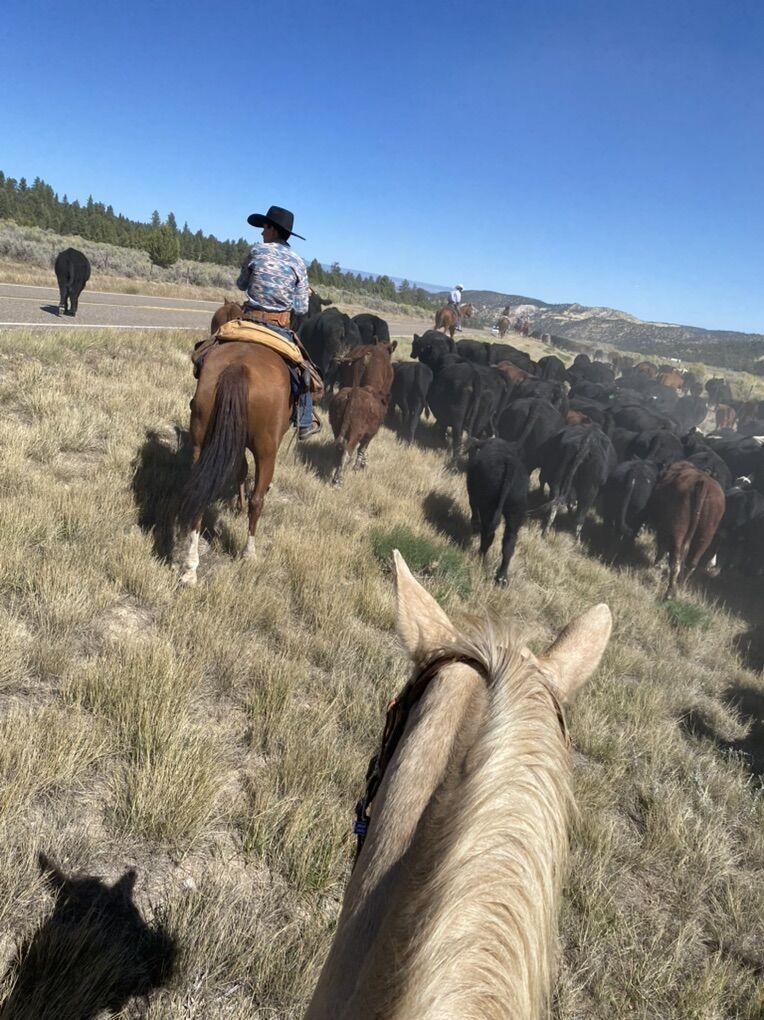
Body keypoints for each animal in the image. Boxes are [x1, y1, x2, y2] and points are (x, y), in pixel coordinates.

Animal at [178, 342, 293, 585]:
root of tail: (238, 366)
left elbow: (240, 469)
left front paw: (238, 506)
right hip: (266, 450)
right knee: (257, 501)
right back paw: (249, 554)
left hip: (201, 441)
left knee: (199, 493)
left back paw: (191, 568)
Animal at [466, 438, 529, 586]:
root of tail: (510, 464)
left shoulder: (473, 493)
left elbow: (473, 505)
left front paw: (474, 526)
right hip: (515, 512)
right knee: (509, 542)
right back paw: (501, 577)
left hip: (489, 506)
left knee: (488, 535)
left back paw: (480, 557)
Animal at [648, 461, 726, 598]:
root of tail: (703, 483)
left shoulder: (663, 528)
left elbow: (661, 547)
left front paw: (656, 565)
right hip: (705, 534)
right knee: (692, 562)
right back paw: (681, 586)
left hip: (678, 528)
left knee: (676, 561)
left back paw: (669, 592)